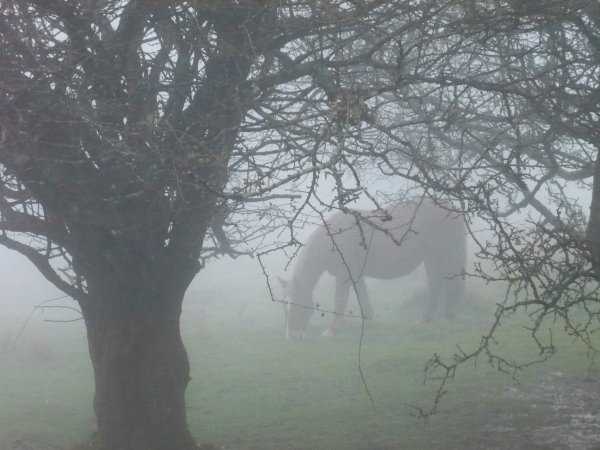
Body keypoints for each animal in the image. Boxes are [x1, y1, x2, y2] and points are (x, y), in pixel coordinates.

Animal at [278, 198, 466, 338]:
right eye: (284, 306)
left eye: (297, 304)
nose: (292, 336)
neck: (334, 238)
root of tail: (453, 209)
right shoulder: (355, 274)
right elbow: (363, 295)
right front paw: (369, 320)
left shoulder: (344, 275)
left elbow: (340, 299)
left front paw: (332, 331)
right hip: (431, 259)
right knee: (436, 285)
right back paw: (427, 320)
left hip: (443, 257)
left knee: (445, 286)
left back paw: (446, 319)